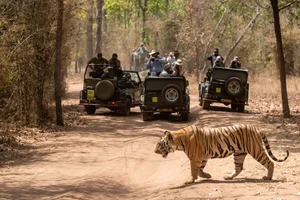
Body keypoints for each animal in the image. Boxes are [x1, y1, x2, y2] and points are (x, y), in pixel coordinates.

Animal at [155, 123, 288, 184]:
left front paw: (190, 180)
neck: (179, 141)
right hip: (239, 154)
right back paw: (228, 177)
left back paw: (268, 177)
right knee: (239, 167)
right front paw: (206, 175)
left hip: (256, 150)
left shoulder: (195, 157)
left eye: (160, 145)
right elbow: (200, 169)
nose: (154, 151)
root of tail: (256, 128)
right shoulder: (202, 157)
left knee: (269, 162)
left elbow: (193, 169)